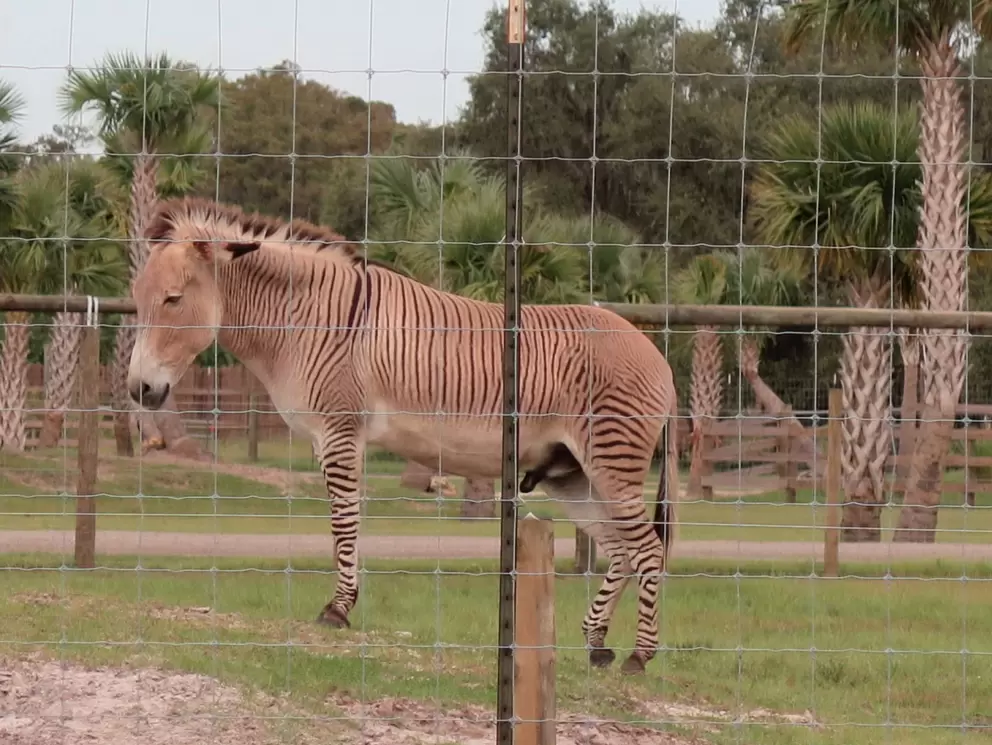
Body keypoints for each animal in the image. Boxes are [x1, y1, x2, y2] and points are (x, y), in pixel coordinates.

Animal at [127, 197, 680, 675]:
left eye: (173, 299)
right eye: (137, 302)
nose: (139, 390)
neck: (306, 320)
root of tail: (660, 358)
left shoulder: (339, 430)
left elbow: (344, 522)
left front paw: (338, 609)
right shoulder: (329, 437)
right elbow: (344, 522)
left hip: (610, 462)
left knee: (649, 549)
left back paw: (639, 656)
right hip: (572, 474)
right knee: (622, 550)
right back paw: (596, 644)